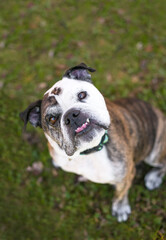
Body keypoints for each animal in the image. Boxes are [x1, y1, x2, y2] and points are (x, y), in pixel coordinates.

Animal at [20, 62, 166, 222]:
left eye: (82, 95)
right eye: (52, 119)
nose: (72, 115)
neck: (89, 151)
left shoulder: (125, 176)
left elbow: (120, 193)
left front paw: (120, 208)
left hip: (154, 153)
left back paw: (154, 178)